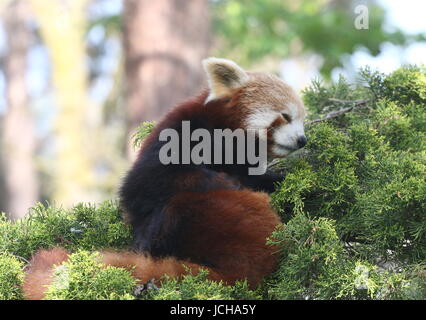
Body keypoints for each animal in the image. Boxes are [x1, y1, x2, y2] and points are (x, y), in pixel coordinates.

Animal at [21, 57, 306, 300]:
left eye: (301, 120)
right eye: (285, 116)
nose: (303, 140)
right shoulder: (180, 133)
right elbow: (152, 181)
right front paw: (227, 180)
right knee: (175, 208)